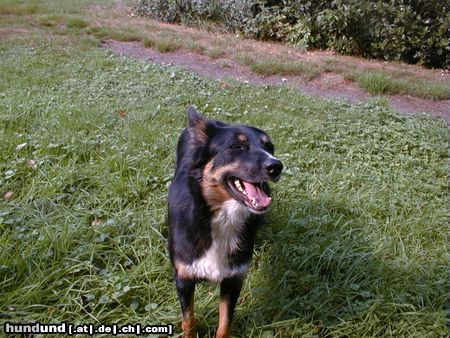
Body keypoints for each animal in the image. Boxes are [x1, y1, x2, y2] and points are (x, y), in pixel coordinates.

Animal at [167, 107, 284, 336]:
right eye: (236, 146)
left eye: (269, 147)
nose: (276, 166)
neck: (222, 218)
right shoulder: (184, 278)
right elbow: (189, 320)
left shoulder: (233, 279)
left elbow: (225, 323)